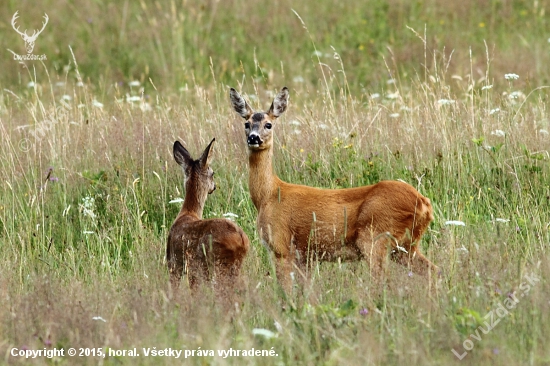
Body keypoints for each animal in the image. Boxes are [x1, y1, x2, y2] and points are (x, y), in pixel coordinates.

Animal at [167, 137, 251, 298]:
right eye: (213, 173)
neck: (187, 213)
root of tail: (242, 239)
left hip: (219, 264)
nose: (215, 187)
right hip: (236, 266)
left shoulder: (177, 263)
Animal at [229, 87, 440, 294]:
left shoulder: (281, 245)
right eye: (246, 123)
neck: (269, 195)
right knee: (434, 270)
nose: (253, 138)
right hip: (406, 245)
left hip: (376, 236)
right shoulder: (305, 256)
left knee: (382, 282)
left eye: (268, 125)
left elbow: (286, 293)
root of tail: (424, 203)